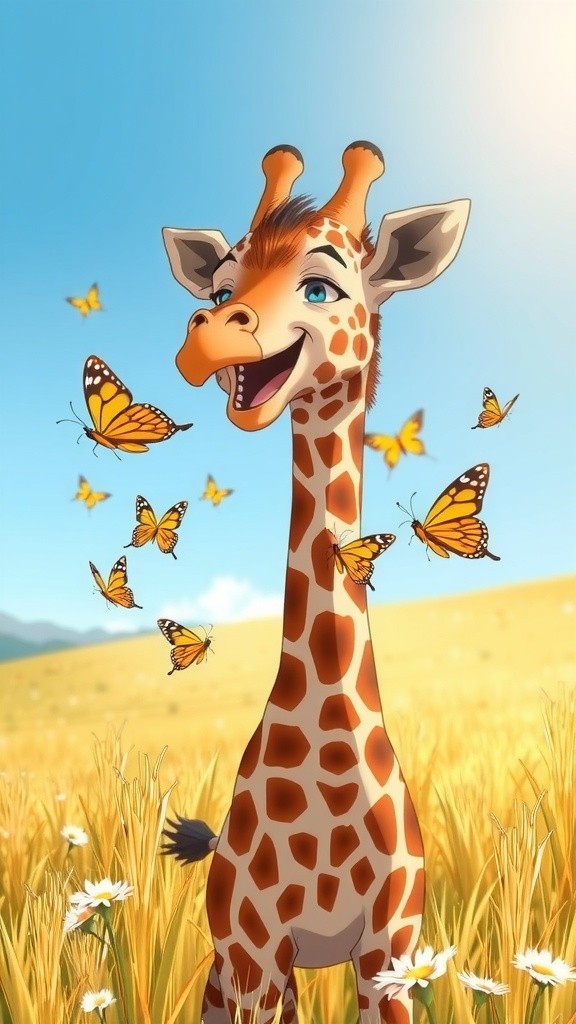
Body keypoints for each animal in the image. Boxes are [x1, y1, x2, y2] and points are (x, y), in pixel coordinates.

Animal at [162, 142, 470, 1024]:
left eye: (321, 288)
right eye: (222, 288)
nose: (207, 339)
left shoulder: (389, 950)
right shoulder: (259, 953)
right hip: (232, 970)